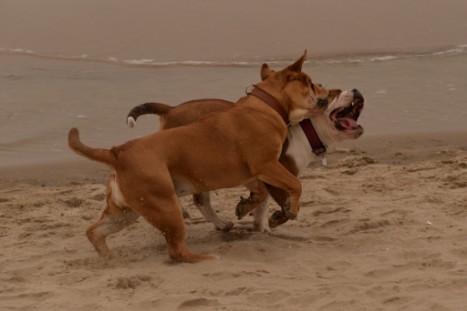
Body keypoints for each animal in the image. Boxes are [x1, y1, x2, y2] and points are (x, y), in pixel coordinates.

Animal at [70, 51, 332, 264]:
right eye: (311, 84)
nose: (326, 90)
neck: (266, 104)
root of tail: (117, 152)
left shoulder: (260, 173)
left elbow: (265, 193)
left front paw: (259, 207)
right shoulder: (268, 165)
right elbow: (296, 184)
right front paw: (290, 209)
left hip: (126, 211)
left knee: (95, 231)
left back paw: (111, 257)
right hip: (164, 207)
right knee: (176, 250)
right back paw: (206, 258)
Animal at [128, 87, 366, 232]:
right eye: (334, 93)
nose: (356, 90)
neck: (305, 129)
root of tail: (171, 109)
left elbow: (261, 204)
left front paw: (260, 227)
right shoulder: (274, 174)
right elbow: (281, 202)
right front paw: (276, 217)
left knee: (200, 200)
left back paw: (219, 223)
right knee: (198, 199)